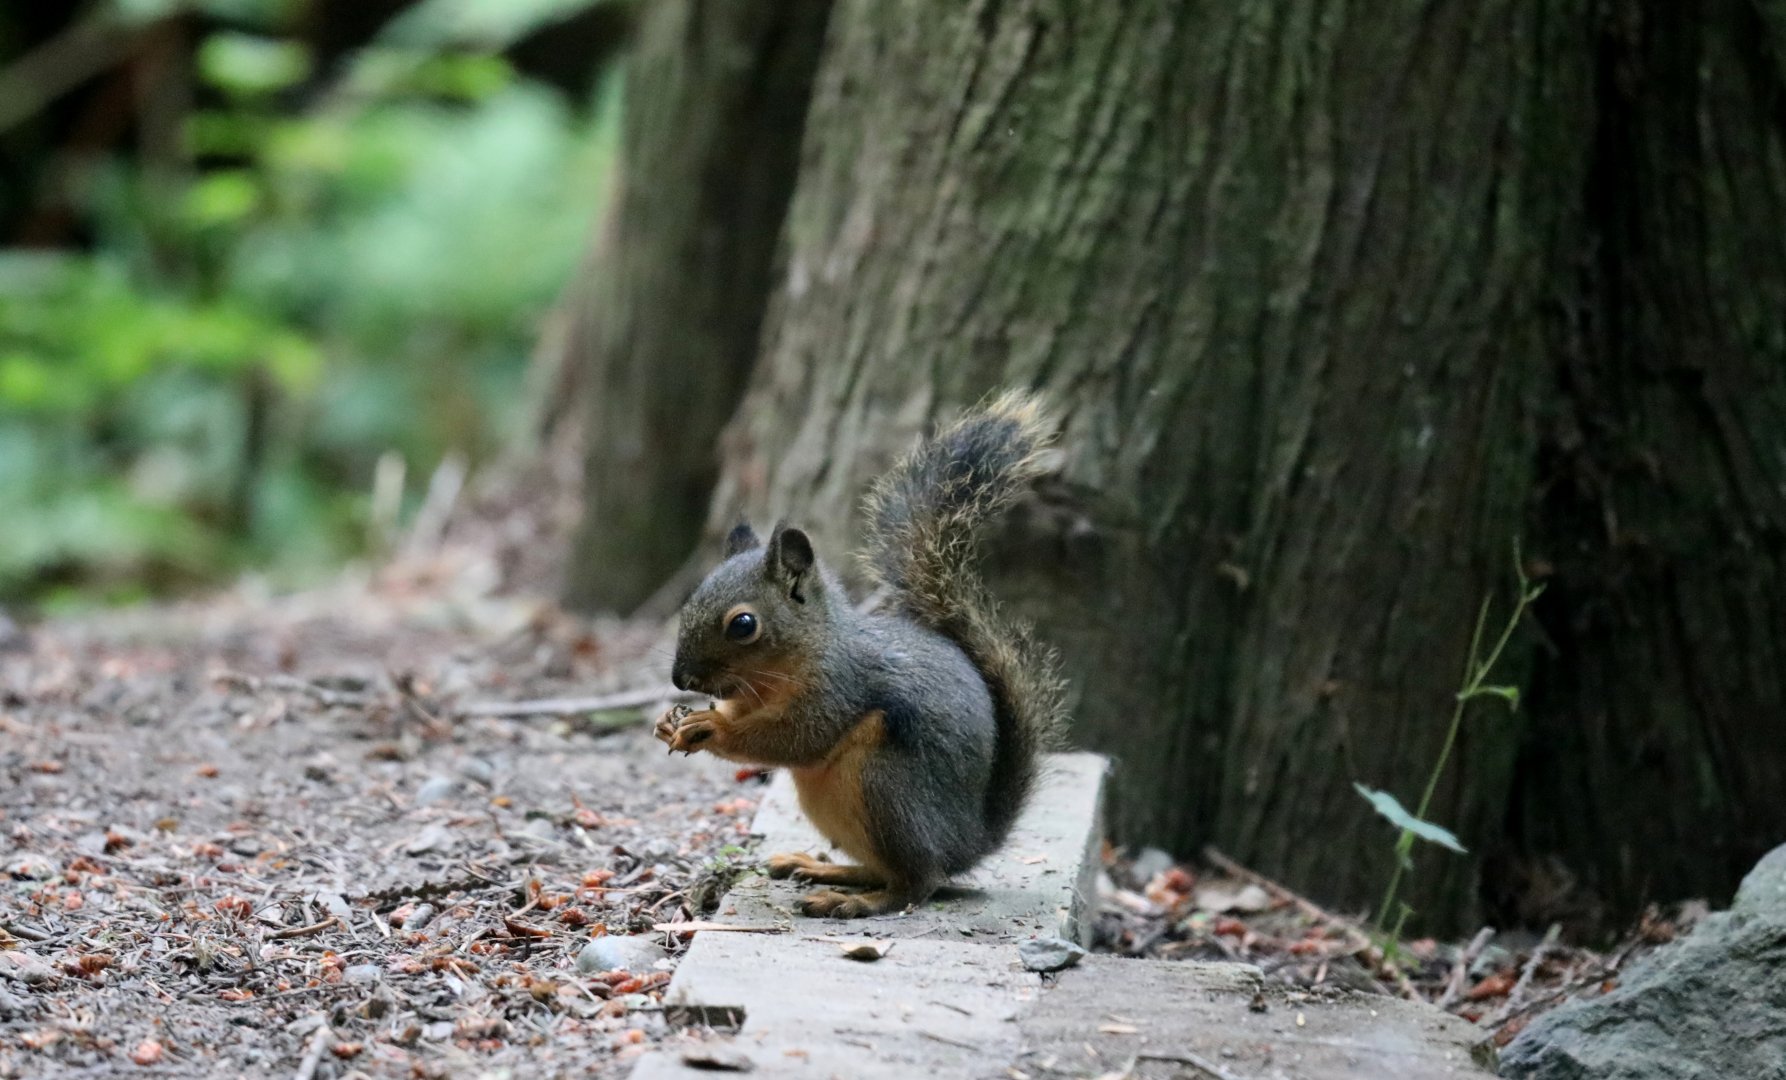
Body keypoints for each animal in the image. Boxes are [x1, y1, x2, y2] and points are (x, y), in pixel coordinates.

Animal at [653, 391, 1067, 918]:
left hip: (885, 787)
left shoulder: (839, 690)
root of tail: (971, 841)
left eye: (743, 625)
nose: (680, 679)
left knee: (916, 882)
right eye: (692, 599)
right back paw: (824, 870)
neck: (799, 657)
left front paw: (711, 727)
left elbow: (796, 738)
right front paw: (671, 722)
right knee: (882, 868)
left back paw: (856, 902)